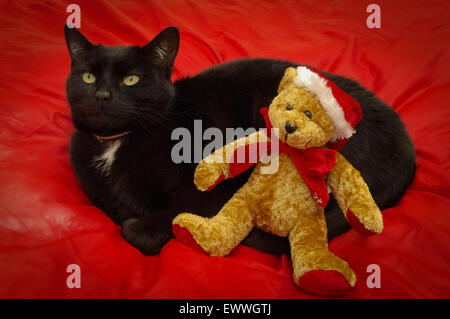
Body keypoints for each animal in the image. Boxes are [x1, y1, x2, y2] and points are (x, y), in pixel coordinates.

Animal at [63, 25, 414, 256]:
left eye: (131, 79)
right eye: (88, 77)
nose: (102, 95)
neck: (115, 143)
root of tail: (409, 154)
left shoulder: (212, 190)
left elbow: (144, 227)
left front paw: (140, 225)